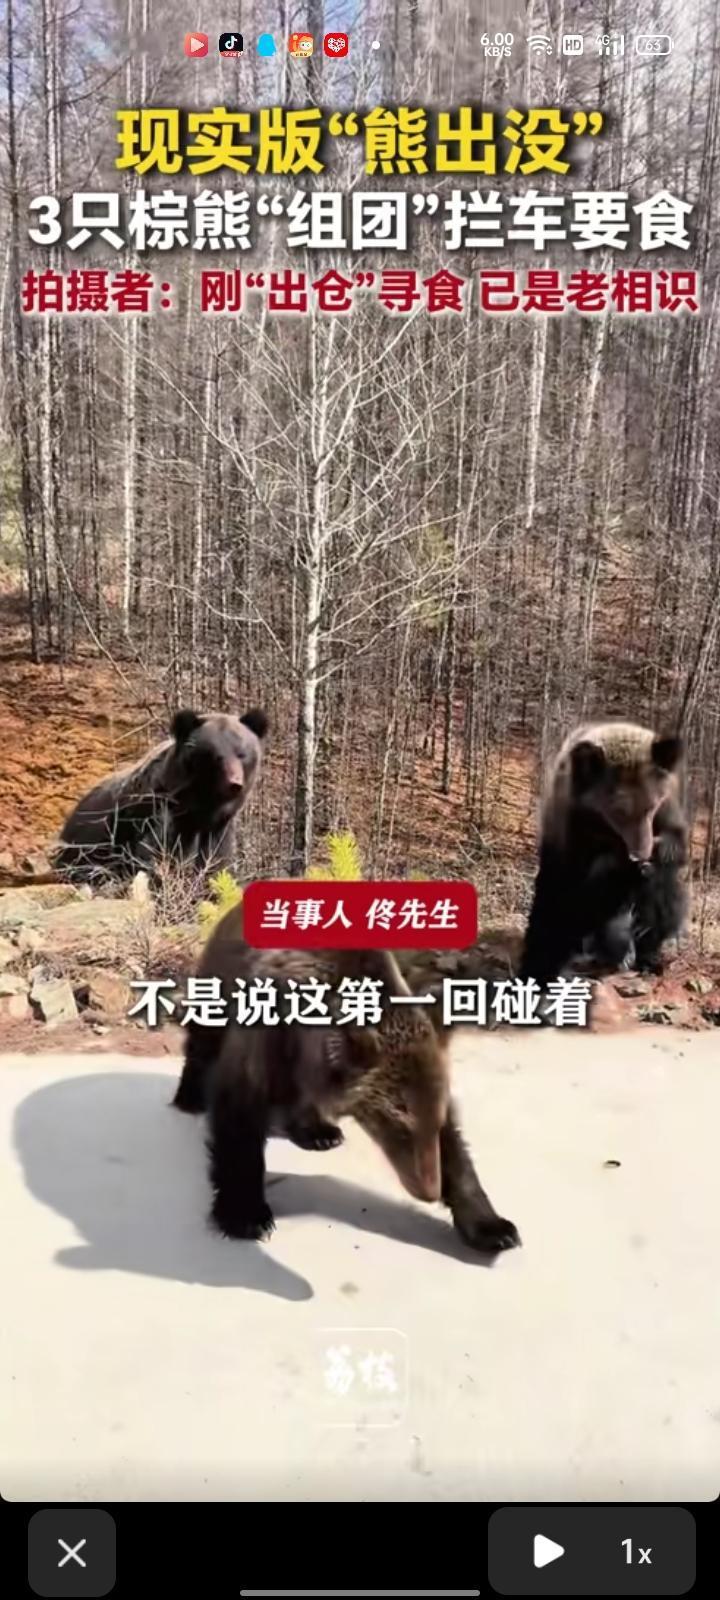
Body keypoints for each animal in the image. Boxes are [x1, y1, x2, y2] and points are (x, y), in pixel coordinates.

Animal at [55, 708, 268, 882]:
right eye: (216, 756)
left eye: (242, 754)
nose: (235, 784)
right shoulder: (158, 811)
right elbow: (157, 851)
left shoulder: (219, 822)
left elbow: (217, 856)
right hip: (89, 840)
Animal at [173, 903, 520, 1253]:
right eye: (398, 1127)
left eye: (434, 1123)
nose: (429, 1190)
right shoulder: (266, 1040)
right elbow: (239, 1117)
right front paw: (246, 1215)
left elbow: (456, 1147)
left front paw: (494, 1227)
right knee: (203, 1040)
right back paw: (189, 1095)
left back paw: (319, 1131)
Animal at [520, 721, 687, 985]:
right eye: (619, 811)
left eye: (651, 806)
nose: (641, 854)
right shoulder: (573, 831)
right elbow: (569, 893)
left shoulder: (668, 811)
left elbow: (673, 852)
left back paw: (646, 957)